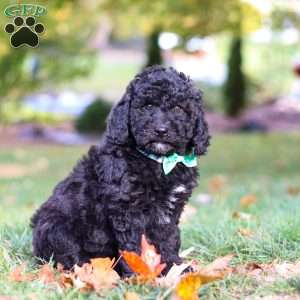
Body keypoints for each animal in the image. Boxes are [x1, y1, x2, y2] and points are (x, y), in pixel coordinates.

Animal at [30, 66, 209, 276]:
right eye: (147, 106)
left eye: (178, 109)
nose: (161, 130)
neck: (159, 161)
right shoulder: (126, 209)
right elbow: (132, 246)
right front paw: (137, 275)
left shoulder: (170, 210)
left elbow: (169, 240)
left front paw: (176, 269)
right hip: (55, 226)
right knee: (68, 255)